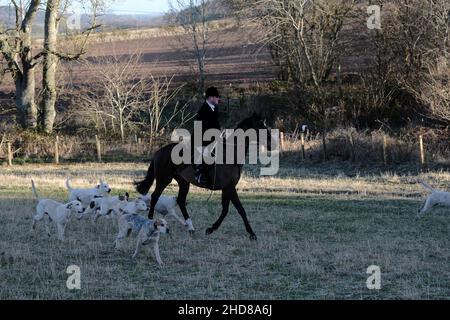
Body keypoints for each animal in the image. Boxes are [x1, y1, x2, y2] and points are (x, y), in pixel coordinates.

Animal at [134, 112, 274, 240]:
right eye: (260, 126)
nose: (271, 144)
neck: (231, 154)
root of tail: (159, 152)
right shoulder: (229, 187)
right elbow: (240, 209)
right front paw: (252, 234)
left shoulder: (227, 188)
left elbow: (225, 209)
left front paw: (211, 229)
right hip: (164, 179)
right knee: (154, 197)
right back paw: (151, 222)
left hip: (183, 182)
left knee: (181, 201)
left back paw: (190, 227)